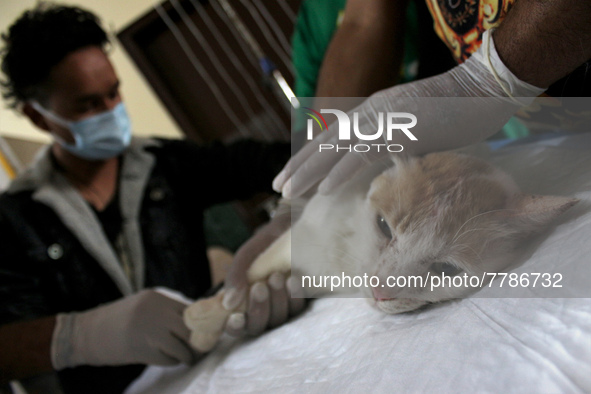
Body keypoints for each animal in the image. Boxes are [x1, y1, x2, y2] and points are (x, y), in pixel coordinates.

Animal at [185, 152, 580, 352]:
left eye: (446, 270)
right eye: (384, 227)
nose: (379, 291)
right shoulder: (304, 238)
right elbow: (249, 277)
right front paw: (207, 319)